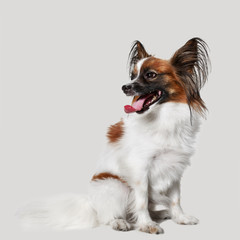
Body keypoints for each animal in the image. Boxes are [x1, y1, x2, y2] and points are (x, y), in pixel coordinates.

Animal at [18, 37, 210, 234]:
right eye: (133, 76)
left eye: (151, 75)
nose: (125, 87)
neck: (163, 116)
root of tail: (90, 203)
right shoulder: (140, 169)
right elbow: (142, 201)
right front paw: (147, 225)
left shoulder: (175, 168)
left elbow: (175, 199)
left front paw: (180, 218)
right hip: (115, 185)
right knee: (109, 216)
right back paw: (120, 222)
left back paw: (160, 213)